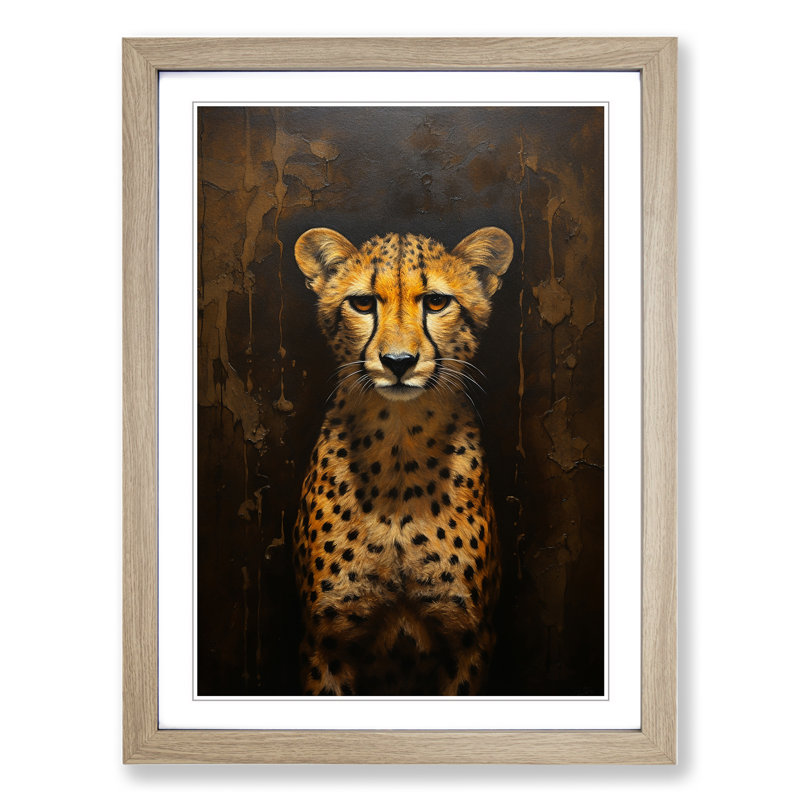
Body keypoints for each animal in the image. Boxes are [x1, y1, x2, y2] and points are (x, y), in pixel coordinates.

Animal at [291, 225, 513, 695]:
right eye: (362, 303)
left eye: (436, 302)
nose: (398, 362)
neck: (399, 448)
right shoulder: (326, 642)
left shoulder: (469, 639)